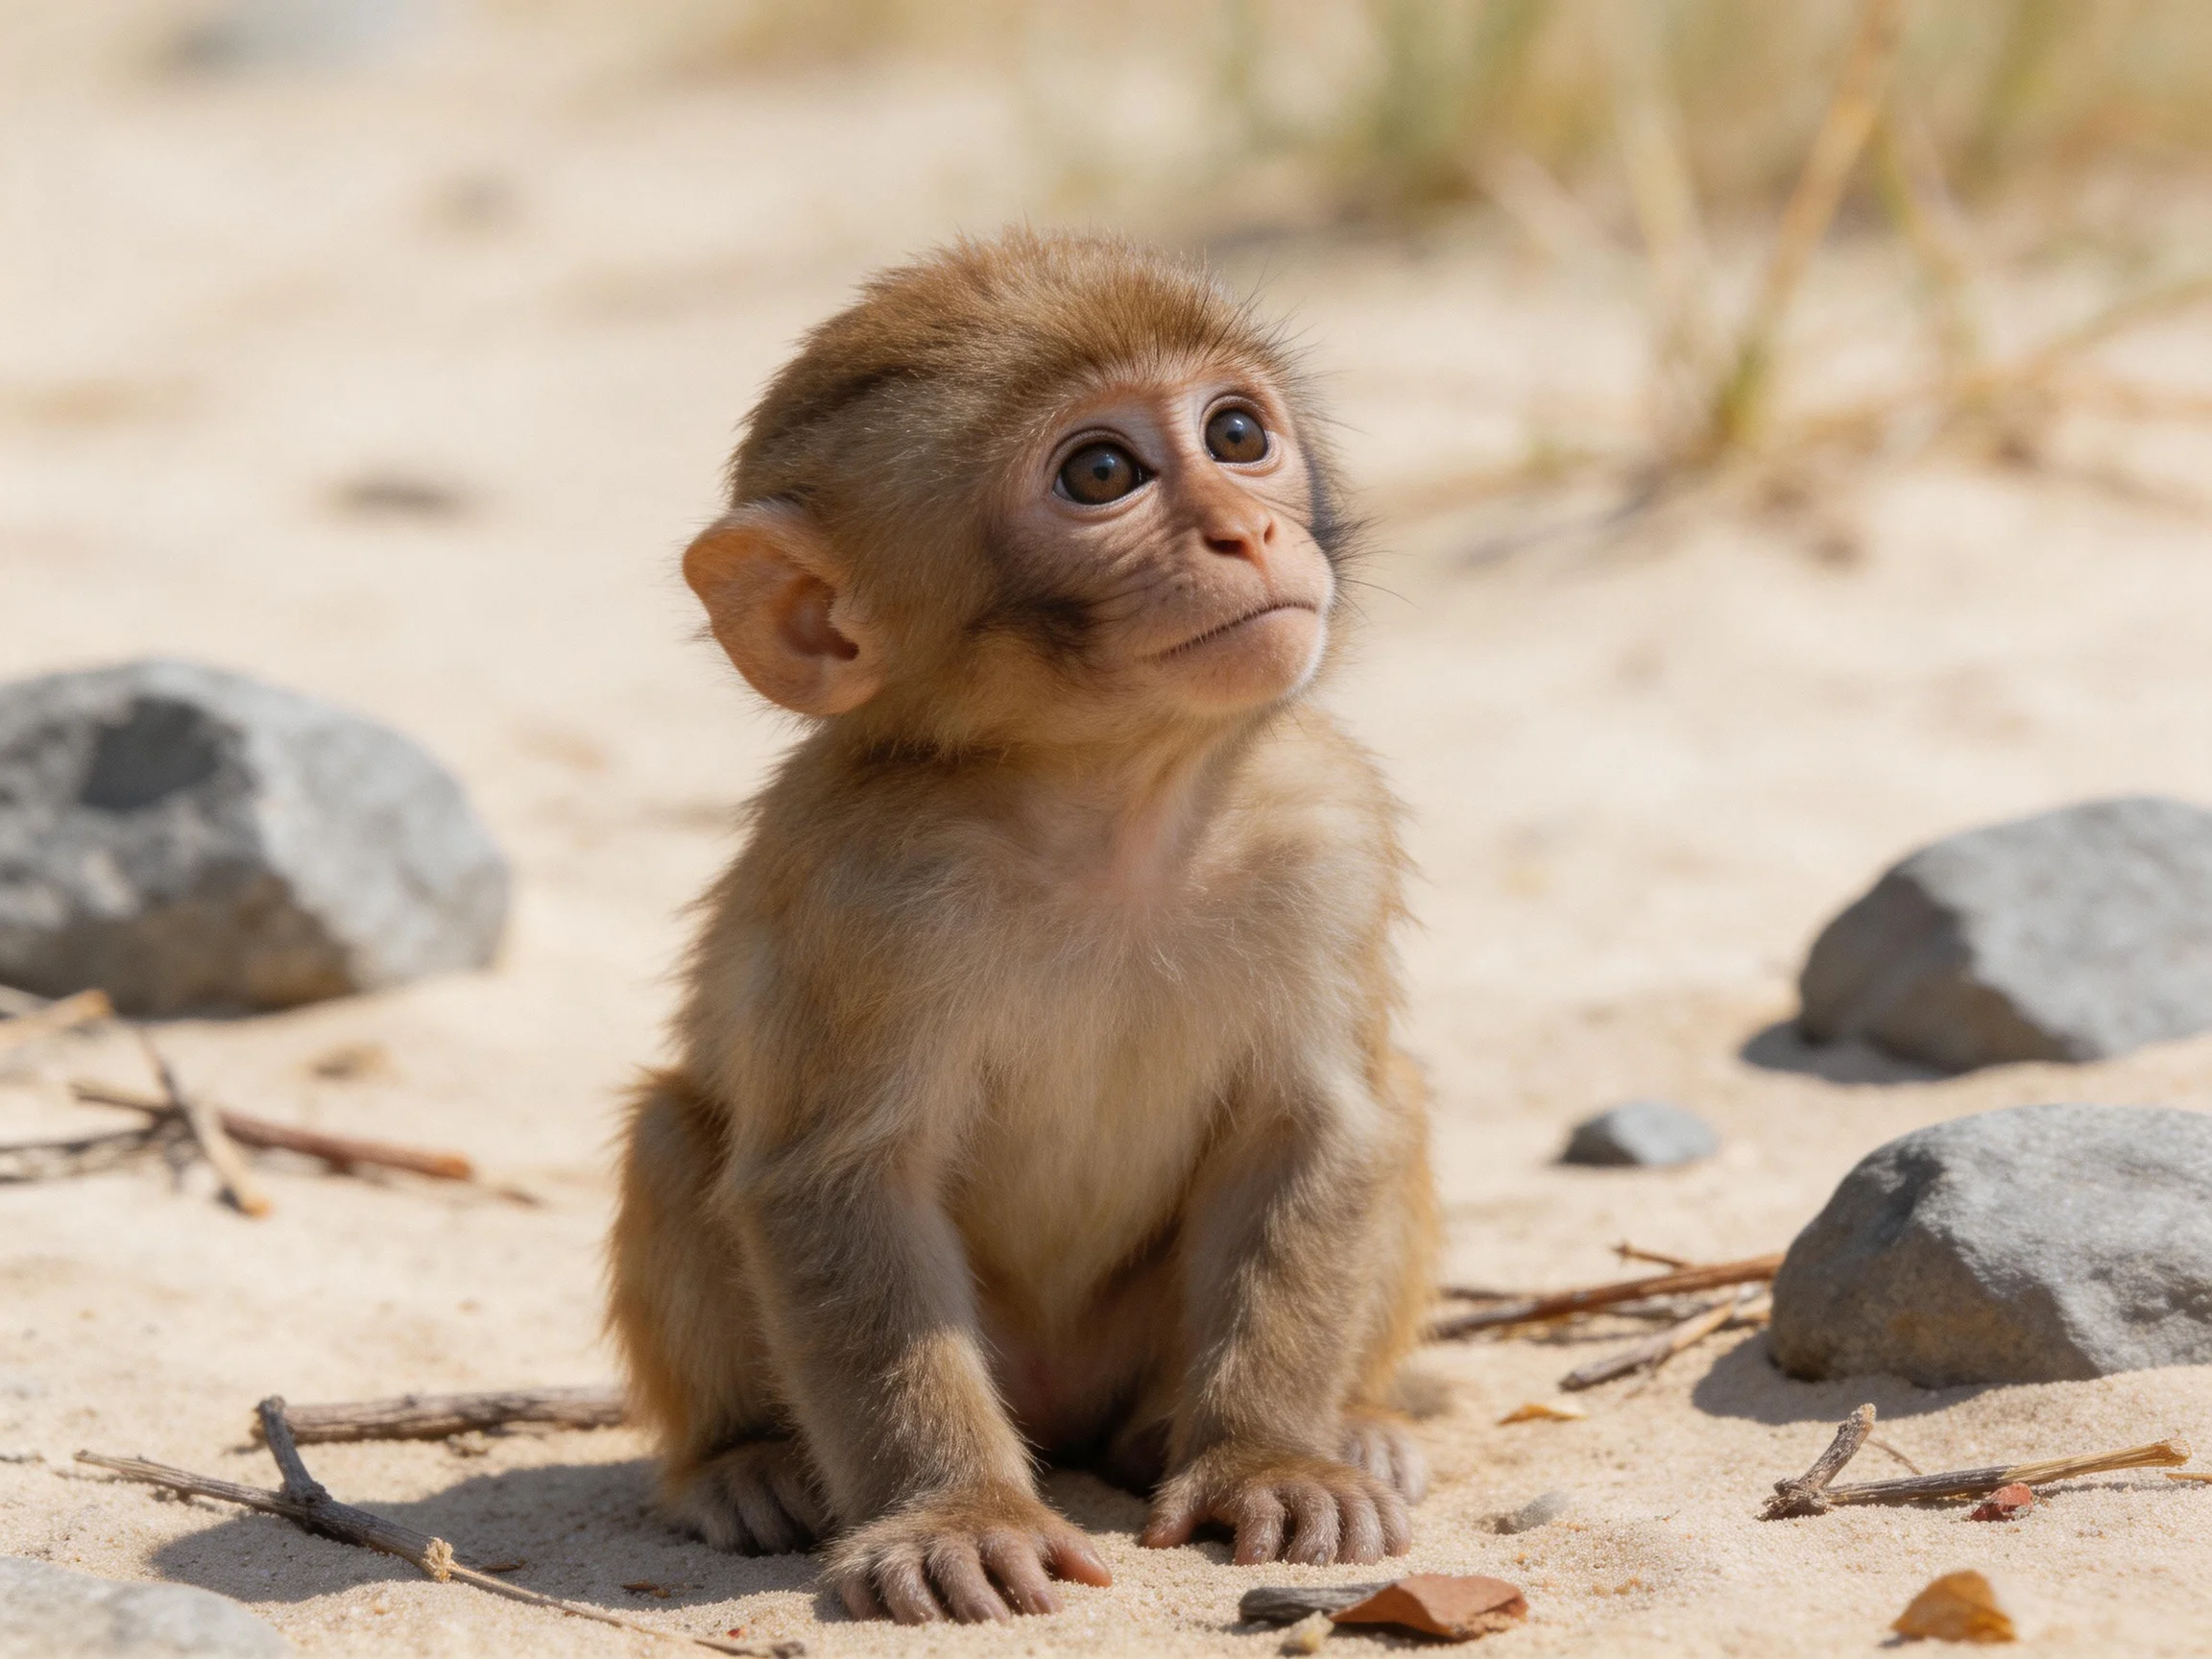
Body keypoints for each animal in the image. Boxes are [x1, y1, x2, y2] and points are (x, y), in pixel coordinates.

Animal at [607, 228, 1439, 1626]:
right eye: (1101, 473)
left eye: (1236, 432)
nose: (1248, 527)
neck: (1112, 809)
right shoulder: (869, 894)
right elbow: (837, 1181)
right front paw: (958, 1515)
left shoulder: (1324, 832)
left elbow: (1316, 1128)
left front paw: (1271, 1457)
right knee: (678, 1130)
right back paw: (745, 1461)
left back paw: (1347, 1425)